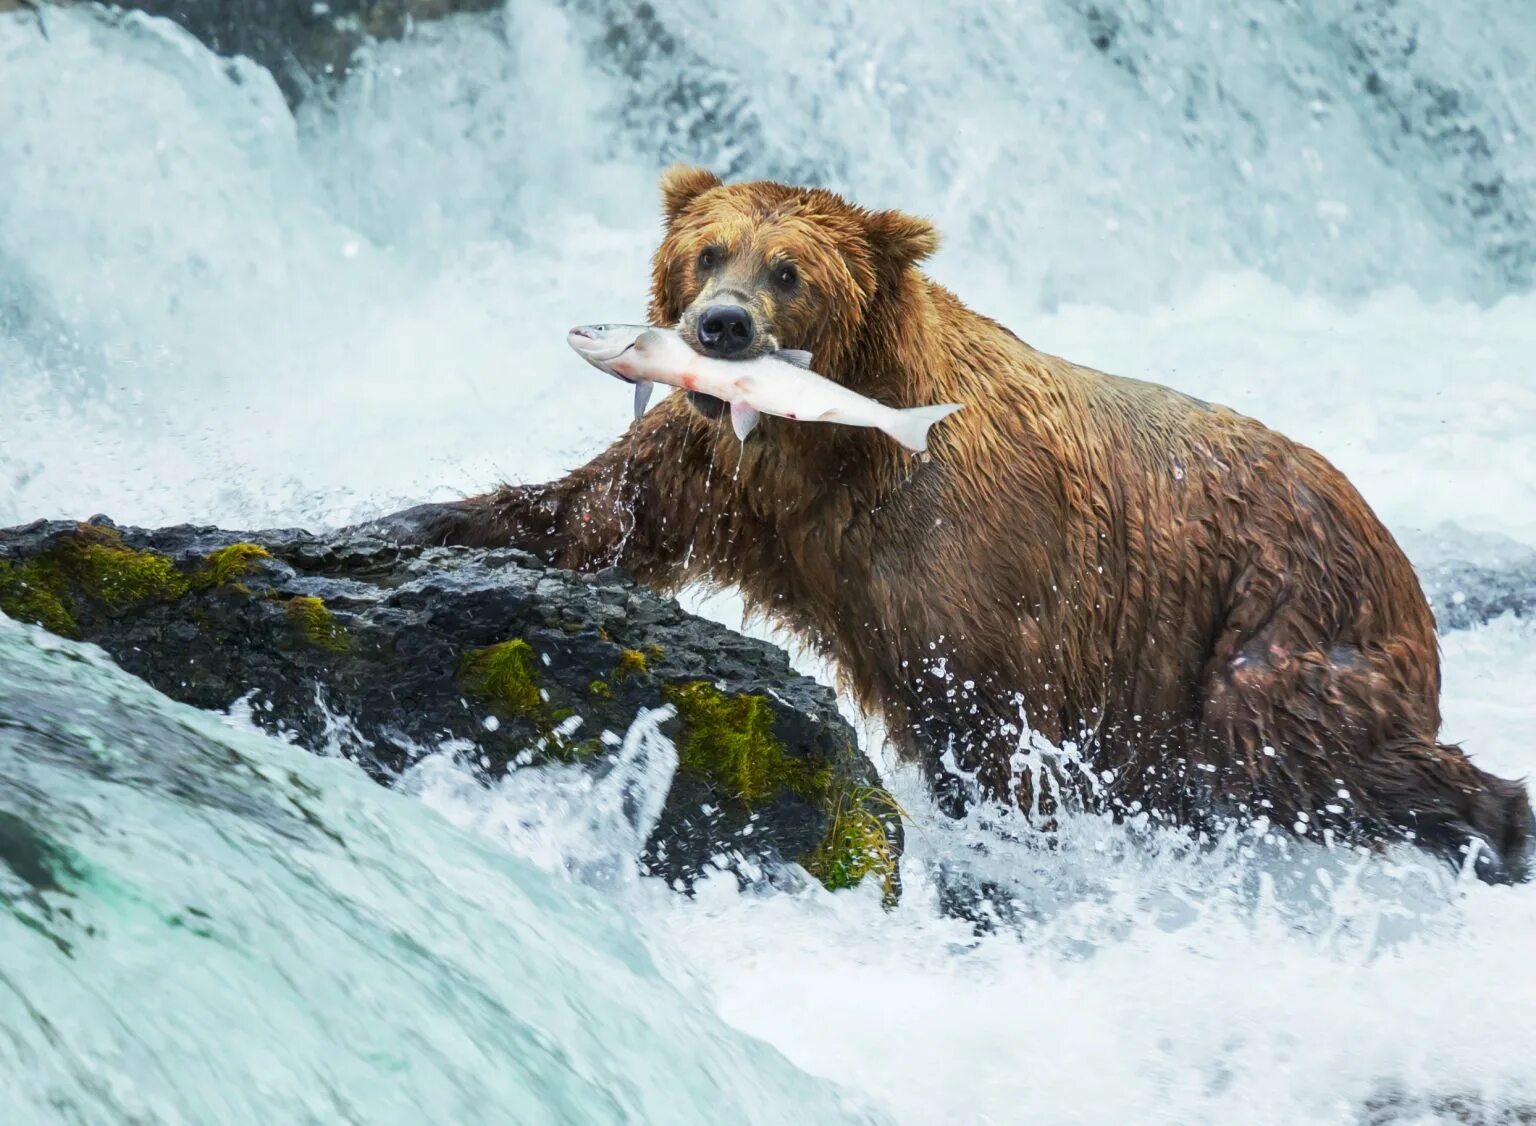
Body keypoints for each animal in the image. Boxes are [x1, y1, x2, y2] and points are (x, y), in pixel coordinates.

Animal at [377, 162, 1529, 884]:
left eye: (788, 270)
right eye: (707, 251)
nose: (720, 327)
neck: (830, 445)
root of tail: (1388, 540)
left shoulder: (973, 552)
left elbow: (990, 716)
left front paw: (1006, 844)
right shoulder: (723, 477)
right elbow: (596, 513)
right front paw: (414, 518)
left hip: (1274, 612)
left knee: (1300, 748)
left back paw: (1498, 819)